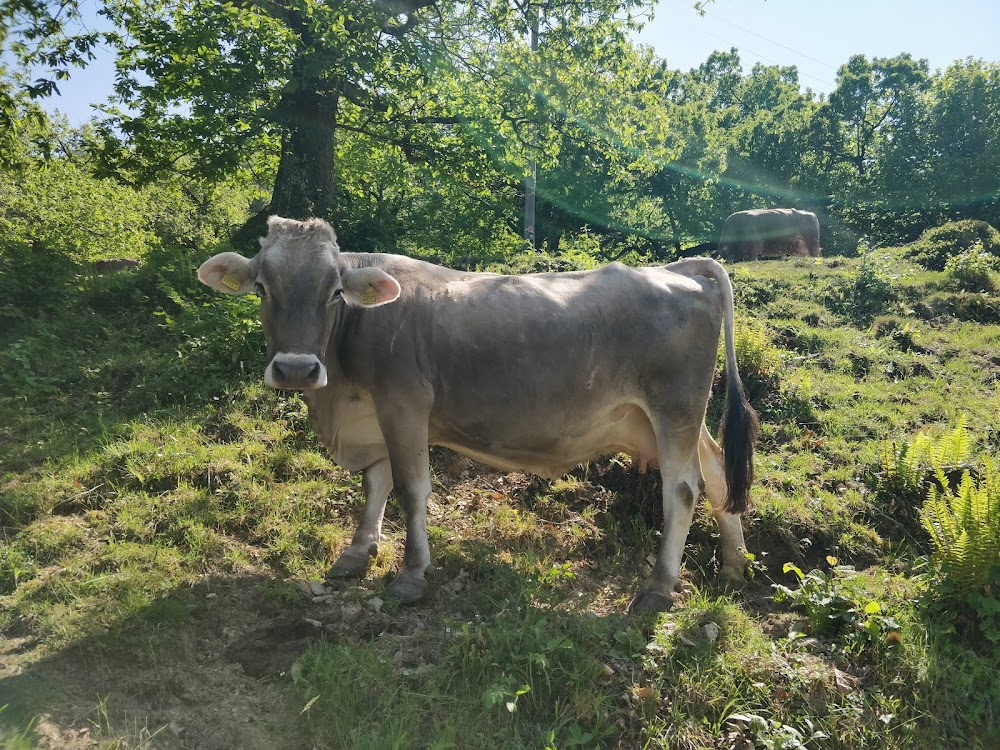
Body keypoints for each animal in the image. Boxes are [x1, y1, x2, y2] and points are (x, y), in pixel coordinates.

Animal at [199, 217, 760, 616]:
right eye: (262, 288)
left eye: (334, 291)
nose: (296, 369)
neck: (339, 396)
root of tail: (678, 270)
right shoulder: (373, 415)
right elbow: (374, 481)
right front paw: (359, 552)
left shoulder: (404, 404)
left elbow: (410, 489)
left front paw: (411, 575)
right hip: (677, 419)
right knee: (716, 473)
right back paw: (734, 566)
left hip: (674, 408)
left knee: (681, 489)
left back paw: (659, 588)